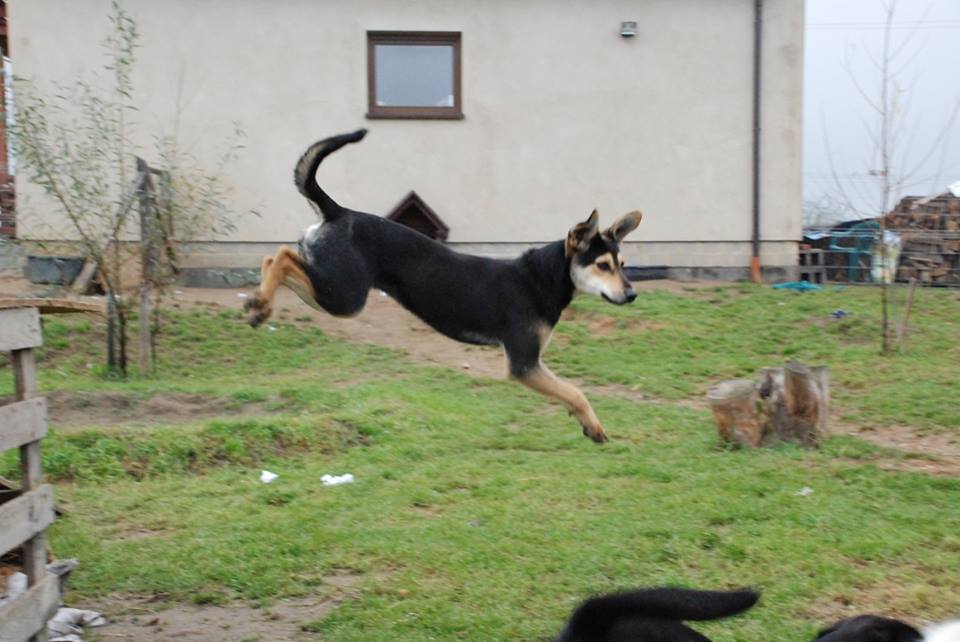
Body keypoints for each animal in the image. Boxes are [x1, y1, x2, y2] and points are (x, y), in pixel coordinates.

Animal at [245, 129, 645, 443]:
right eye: (603, 265)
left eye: (623, 265)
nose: (632, 294)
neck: (542, 277)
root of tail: (338, 211)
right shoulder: (524, 363)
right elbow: (576, 391)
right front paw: (594, 426)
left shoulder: (532, 364)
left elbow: (569, 393)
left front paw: (584, 424)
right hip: (345, 296)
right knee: (280, 256)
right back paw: (260, 304)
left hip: (333, 288)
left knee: (273, 257)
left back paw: (258, 303)